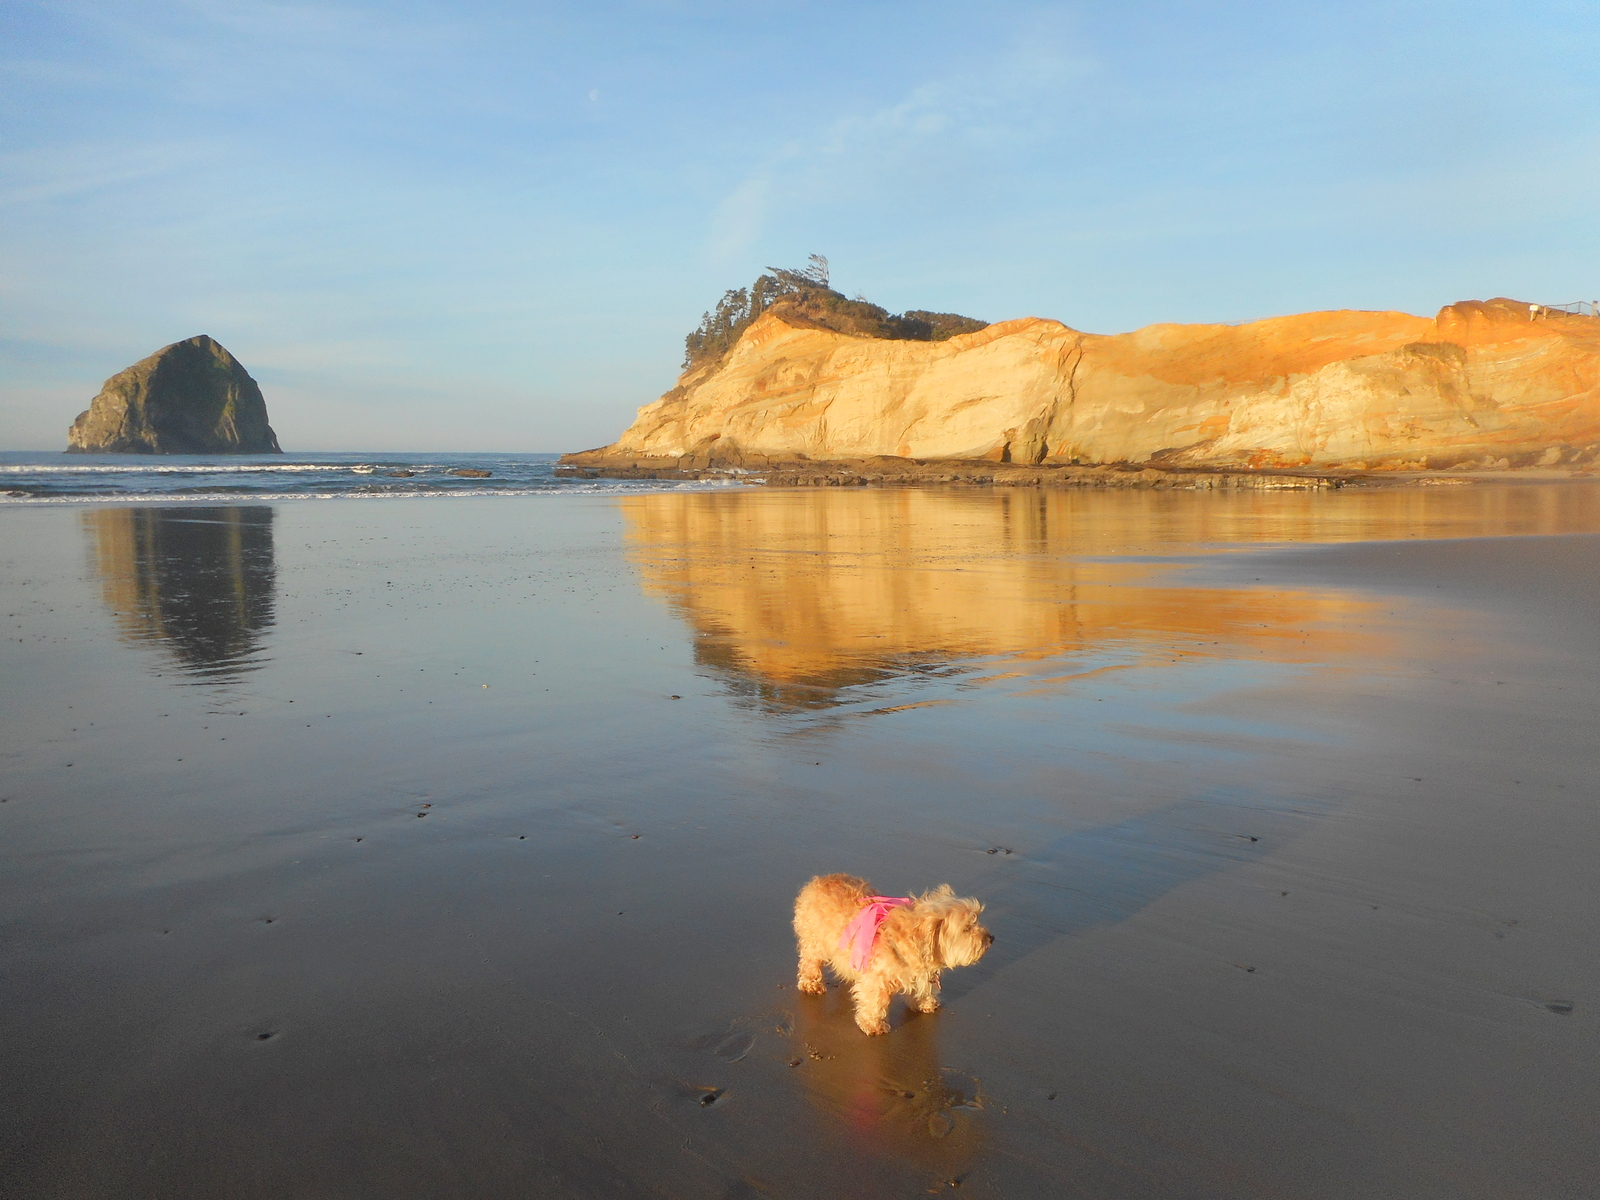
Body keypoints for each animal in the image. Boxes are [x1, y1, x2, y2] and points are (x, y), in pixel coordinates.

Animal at [793, 876, 992, 1036]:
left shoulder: (921, 974)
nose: (991, 938)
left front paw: (925, 1002)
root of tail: (817, 881)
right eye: (967, 928)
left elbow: (923, 989)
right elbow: (874, 1003)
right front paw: (873, 1025)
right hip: (814, 941)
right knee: (809, 963)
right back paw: (811, 983)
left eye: (977, 919)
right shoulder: (876, 980)